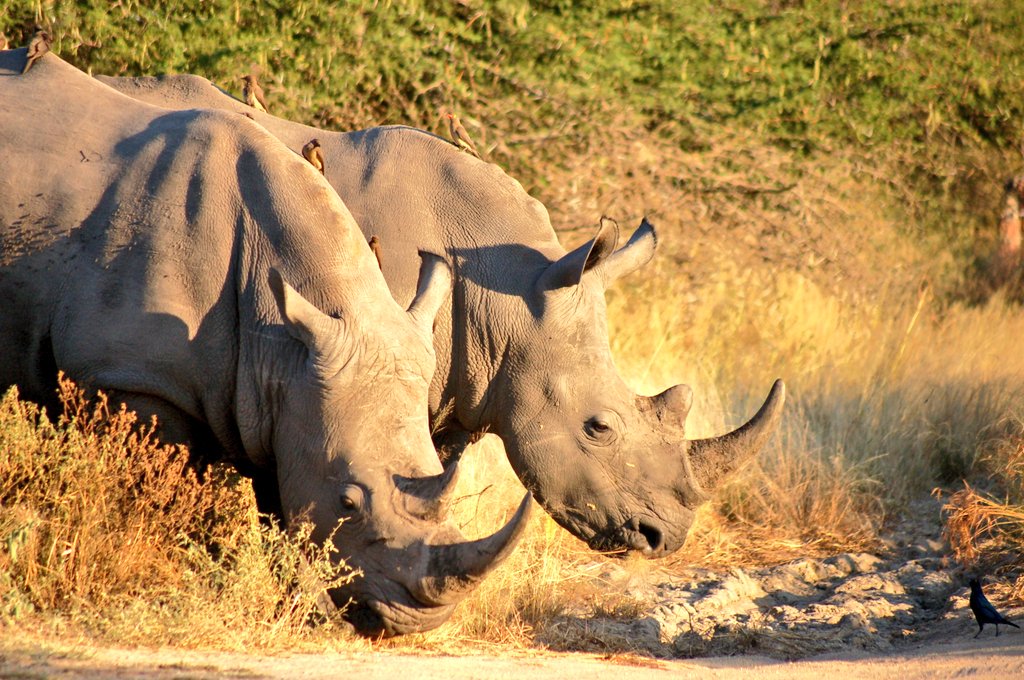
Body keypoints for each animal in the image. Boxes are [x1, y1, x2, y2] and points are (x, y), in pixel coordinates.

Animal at [0, 53, 531, 636]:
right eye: (348, 502)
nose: (416, 621)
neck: (281, 339)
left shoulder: (283, 390)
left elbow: (282, 516)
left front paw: (305, 612)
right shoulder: (133, 377)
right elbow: (165, 496)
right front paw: (163, 575)